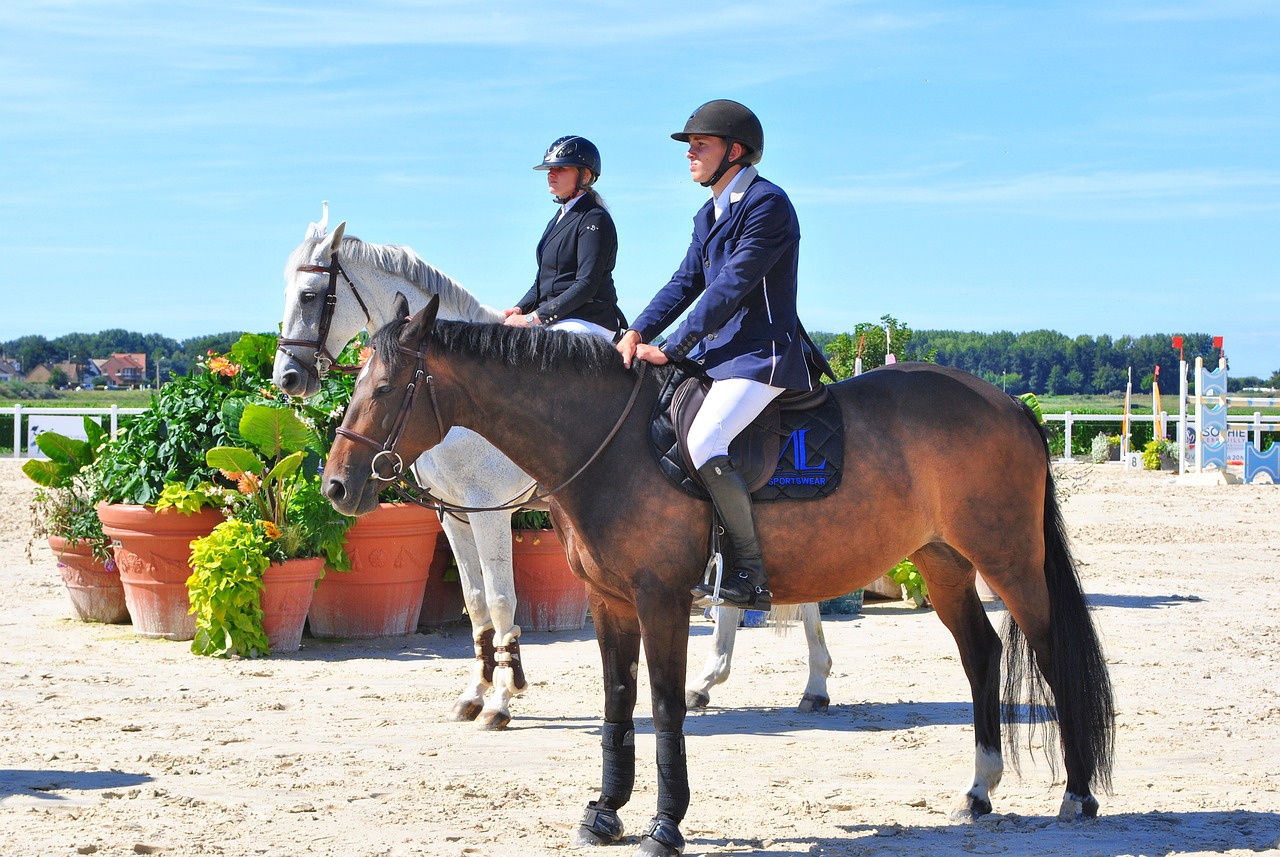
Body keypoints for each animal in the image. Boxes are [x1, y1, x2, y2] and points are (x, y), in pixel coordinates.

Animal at [271, 208, 839, 726]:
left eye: (309, 295)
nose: (288, 379)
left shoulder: (489, 511)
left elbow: (502, 598)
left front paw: (502, 699)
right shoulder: (452, 516)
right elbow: (475, 599)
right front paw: (476, 691)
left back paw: (812, 685)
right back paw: (707, 684)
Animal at [320, 296, 1111, 857]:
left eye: (386, 387)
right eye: (354, 383)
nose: (335, 486)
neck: (606, 442)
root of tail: (1008, 405)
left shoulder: (661, 600)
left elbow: (667, 706)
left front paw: (664, 825)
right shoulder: (610, 602)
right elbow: (617, 703)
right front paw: (604, 813)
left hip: (1008, 560)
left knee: (1048, 652)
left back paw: (1078, 795)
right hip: (942, 560)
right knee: (981, 652)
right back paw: (978, 791)